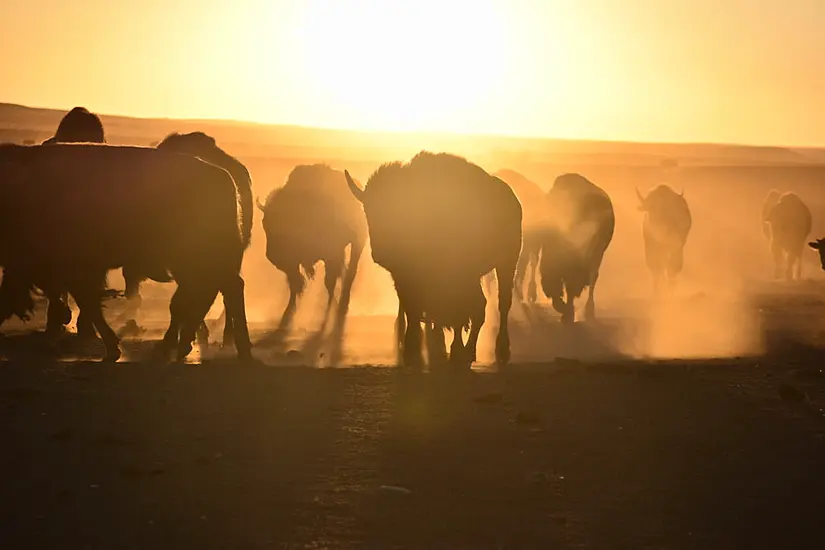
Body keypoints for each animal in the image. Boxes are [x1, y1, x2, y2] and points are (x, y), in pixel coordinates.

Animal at [0, 144, 251, 364]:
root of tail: (225, 177)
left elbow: (89, 304)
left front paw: (112, 347)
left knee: (221, 291)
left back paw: (234, 350)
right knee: (209, 293)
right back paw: (184, 346)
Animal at [260, 166, 366, 332]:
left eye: (282, 222)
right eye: (264, 223)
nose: (271, 255)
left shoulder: (331, 254)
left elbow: (328, 282)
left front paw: (330, 310)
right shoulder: (292, 264)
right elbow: (295, 284)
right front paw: (288, 314)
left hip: (358, 242)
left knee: (350, 271)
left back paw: (342, 304)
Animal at [342, 151, 520, 368]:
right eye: (368, 211)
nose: (380, 252)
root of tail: (513, 201)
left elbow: (454, 311)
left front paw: (450, 349)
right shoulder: (404, 277)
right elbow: (413, 308)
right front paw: (413, 349)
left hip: (506, 264)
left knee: (499, 304)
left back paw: (492, 350)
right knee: (478, 306)